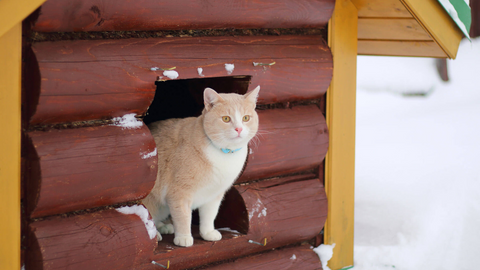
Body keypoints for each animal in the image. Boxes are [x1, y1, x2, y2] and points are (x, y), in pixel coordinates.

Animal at [142, 86, 260, 247]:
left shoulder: (214, 194)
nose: (239, 129)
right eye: (226, 119)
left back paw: (164, 227)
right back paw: (157, 234)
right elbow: (183, 216)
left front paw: (208, 233)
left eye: (246, 118)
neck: (224, 154)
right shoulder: (179, 193)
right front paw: (184, 237)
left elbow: (209, 215)